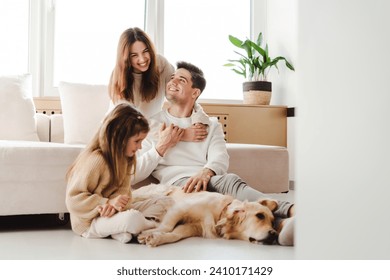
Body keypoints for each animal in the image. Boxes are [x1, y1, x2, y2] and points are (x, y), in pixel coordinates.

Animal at [133, 184, 278, 247]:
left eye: (272, 222)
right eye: (260, 216)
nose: (274, 234)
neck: (219, 214)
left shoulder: (192, 227)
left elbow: (175, 234)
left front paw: (156, 238)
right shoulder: (180, 208)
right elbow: (167, 227)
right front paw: (147, 233)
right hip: (154, 194)